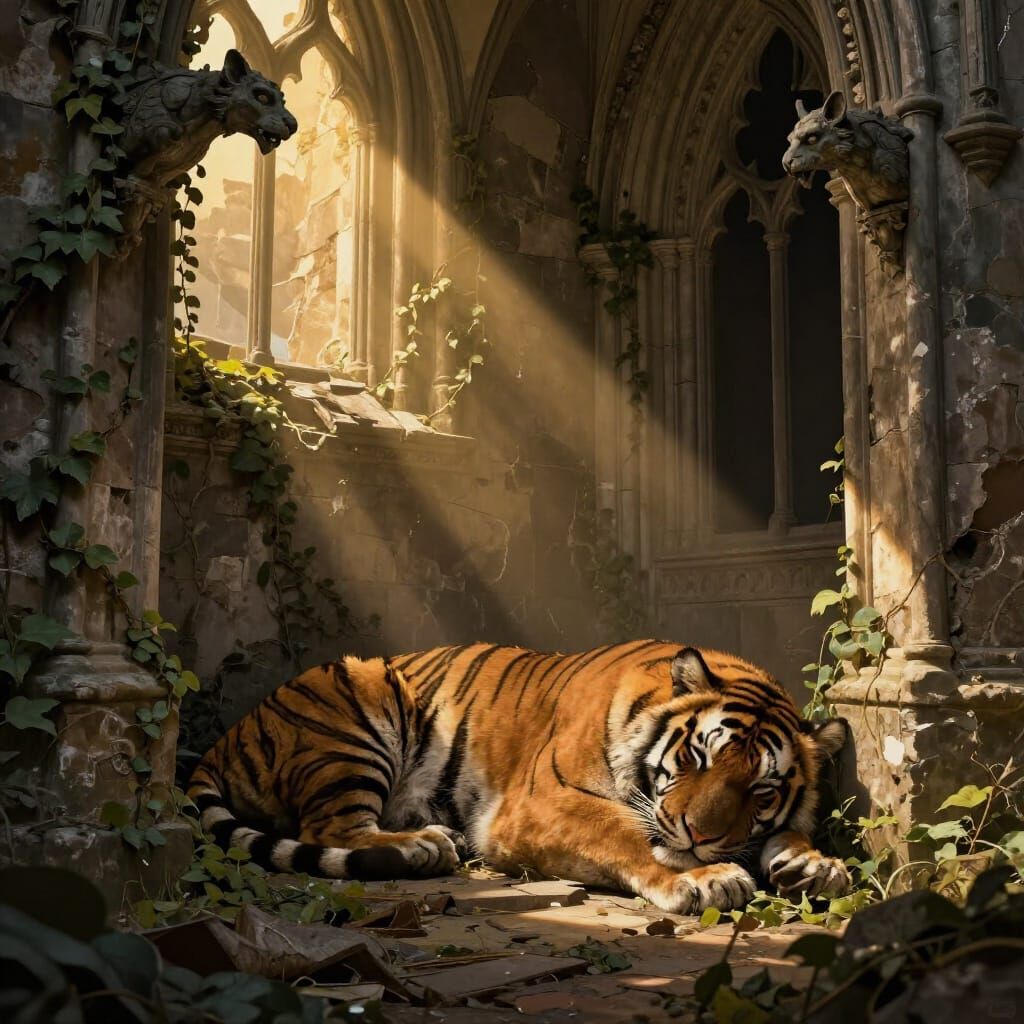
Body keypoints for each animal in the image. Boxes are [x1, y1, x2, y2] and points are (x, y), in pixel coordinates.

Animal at [187, 640, 851, 914]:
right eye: (698, 759)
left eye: (761, 790)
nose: (699, 834)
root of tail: (224, 739)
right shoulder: (537, 805)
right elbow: (626, 834)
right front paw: (706, 877)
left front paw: (814, 864)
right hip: (360, 710)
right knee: (330, 830)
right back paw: (424, 845)